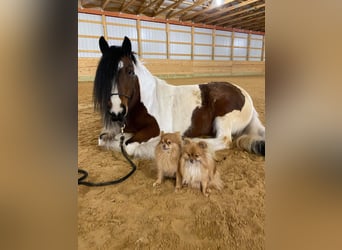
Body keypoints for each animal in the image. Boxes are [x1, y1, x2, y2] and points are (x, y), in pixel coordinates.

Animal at [93, 36, 264, 158]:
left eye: (130, 71)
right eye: (103, 76)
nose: (117, 112)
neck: (144, 102)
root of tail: (245, 95)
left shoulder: (155, 129)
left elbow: (127, 146)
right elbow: (102, 138)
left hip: (223, 119)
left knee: (224, 140)